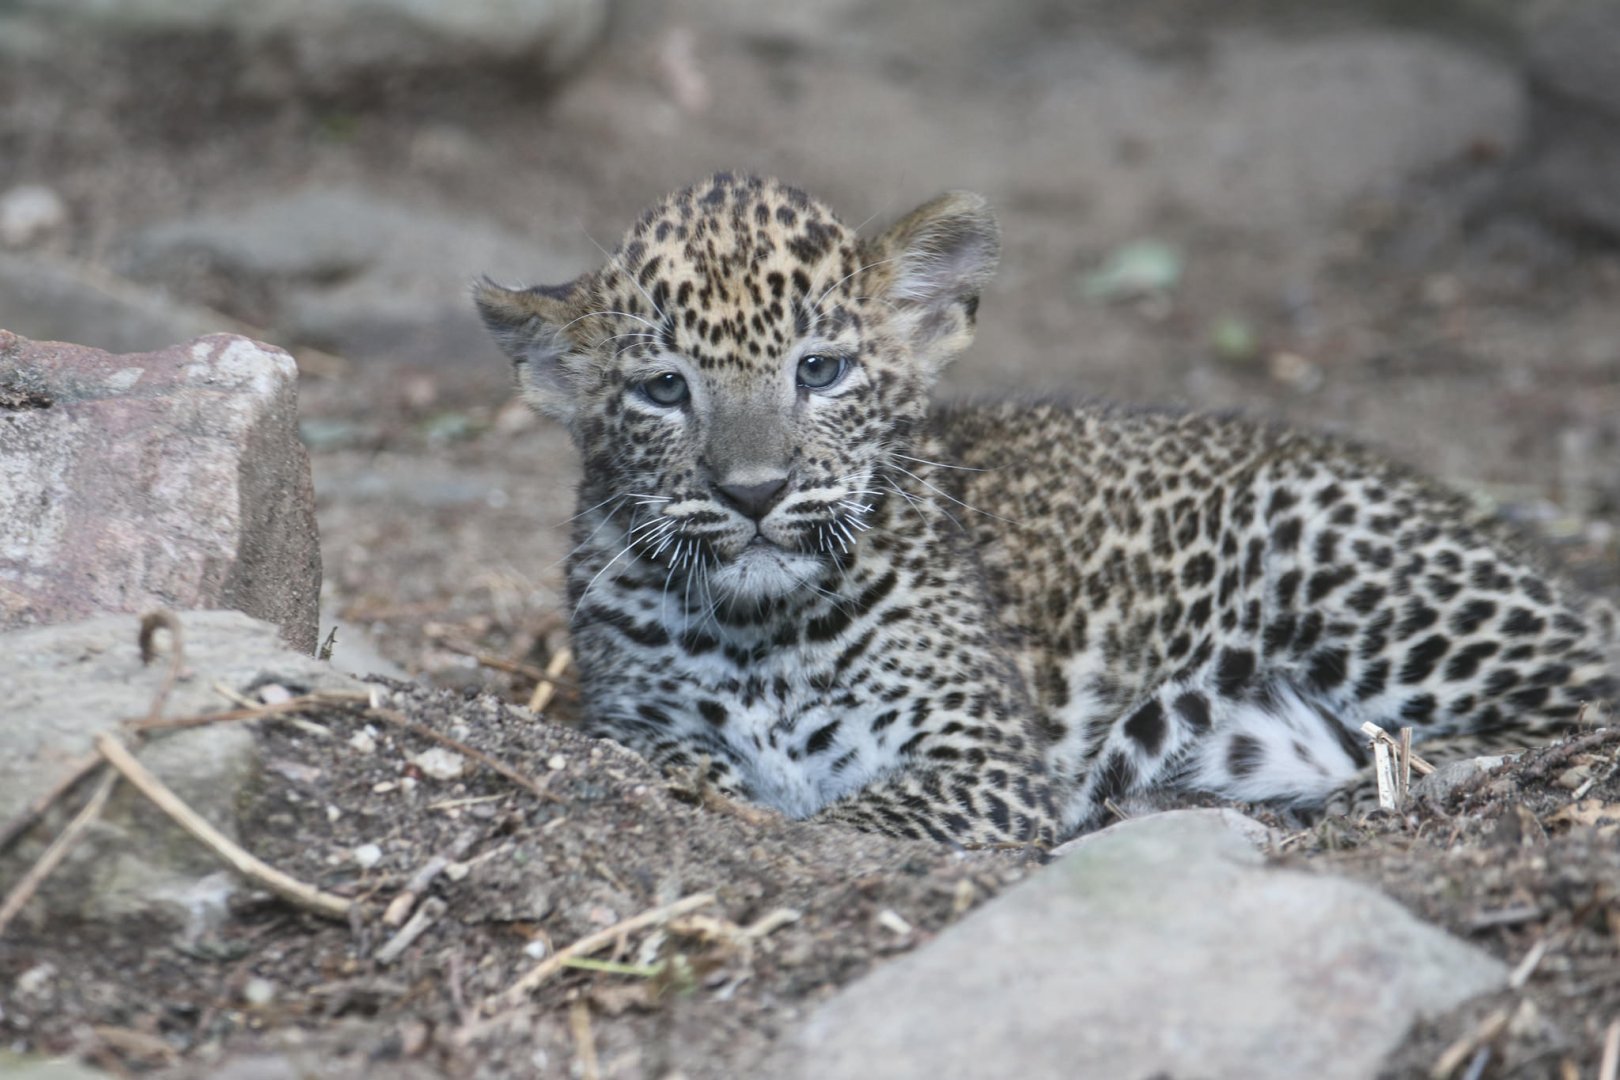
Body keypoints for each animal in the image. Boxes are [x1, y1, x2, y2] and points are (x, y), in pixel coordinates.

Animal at [476, 172, 1618, 848]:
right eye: (663, 391)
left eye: (823, 370)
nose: (753, 492)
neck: (761, 630)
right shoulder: (627, 720)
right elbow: (676, 761)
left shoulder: (977, 760)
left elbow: (850, 815)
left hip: (1338, 557)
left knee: (1570, 709)